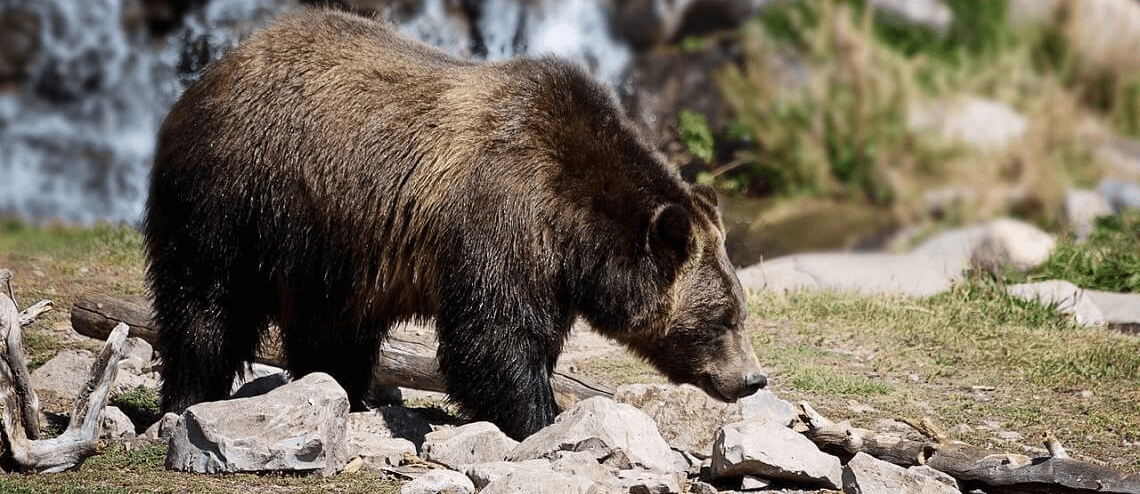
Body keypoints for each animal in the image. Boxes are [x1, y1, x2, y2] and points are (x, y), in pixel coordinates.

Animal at [144, 6, 766, 438]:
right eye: (723, 318)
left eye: (739, 310)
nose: (752, 378)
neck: (576, 227)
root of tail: (214, 70)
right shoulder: (504, 216)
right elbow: (492, 337)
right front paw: (539, 417)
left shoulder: (550, 268)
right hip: (236, 195)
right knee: (206, 301)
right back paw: (189, 396)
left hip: (329, 241)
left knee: (333, 326)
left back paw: (346, 391)